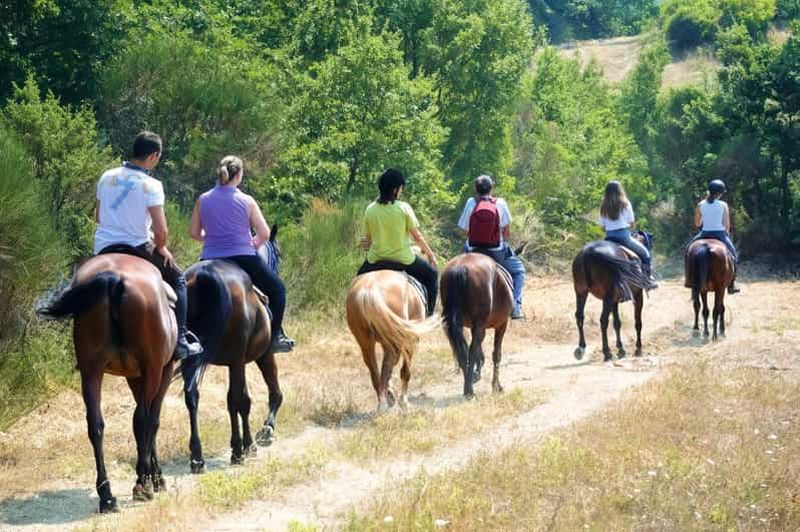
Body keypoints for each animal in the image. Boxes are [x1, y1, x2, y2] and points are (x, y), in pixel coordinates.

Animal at [36, 254, 177, 513]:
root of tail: (114, 278)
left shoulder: (134, 376)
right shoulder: (162, 371)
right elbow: (153, 421)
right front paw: (156, 478)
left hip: (92, 370)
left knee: (96, 425)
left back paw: (107, 496)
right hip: (151, 369)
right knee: (142, 419)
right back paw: (141, 485)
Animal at [181, 230, 283, 472]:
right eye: (279, 255)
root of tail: (205, 276)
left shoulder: (236, 362)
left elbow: (237, 401)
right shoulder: (260, 356)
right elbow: (266, 394)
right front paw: (257, 438)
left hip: (192, 357)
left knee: (192, 396)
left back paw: (197, 457)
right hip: (240, 358)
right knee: (238, 398)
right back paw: (237, 450)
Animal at [345, 270, 439, 411]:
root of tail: (369, 290)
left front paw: (391, 392)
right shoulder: (410, 340)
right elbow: (405, 371)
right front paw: (403, 401)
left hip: (366, 343)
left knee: (376, 370)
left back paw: (383, 399)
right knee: (387, 366)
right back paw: (385, 403)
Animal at [440, 253, 514, 398]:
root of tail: (460, 266)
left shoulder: (473, 326)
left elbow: (479, 350)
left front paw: (476, 374)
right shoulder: (501, 324)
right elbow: (496, 354)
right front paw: (496, 386)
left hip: (454, 325)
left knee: (462, 351)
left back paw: (467, 387)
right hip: (480, 324)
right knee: (472, 351)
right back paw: (470, 390)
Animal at [572, 233, 652, 362]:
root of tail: (588, 252)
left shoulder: (614, 301)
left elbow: (617, 323)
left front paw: (621, 349)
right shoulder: (637, 295)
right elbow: (638, 322)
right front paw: (638, 348)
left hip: (581, 292)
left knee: (579, 316)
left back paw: (581, 348)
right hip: (607, 298)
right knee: (603, 320)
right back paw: (607, 353)